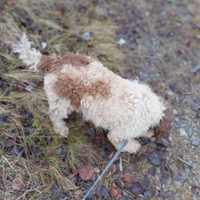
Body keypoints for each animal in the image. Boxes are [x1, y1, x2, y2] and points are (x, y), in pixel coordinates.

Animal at [12, 33, 172, 153]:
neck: (150, 108)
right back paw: (61, 129)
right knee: (54, 115)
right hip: (61, 102)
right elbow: (118, 141)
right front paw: (133, 147)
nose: (152, 136)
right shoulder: (120, 132)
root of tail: (57, 61)